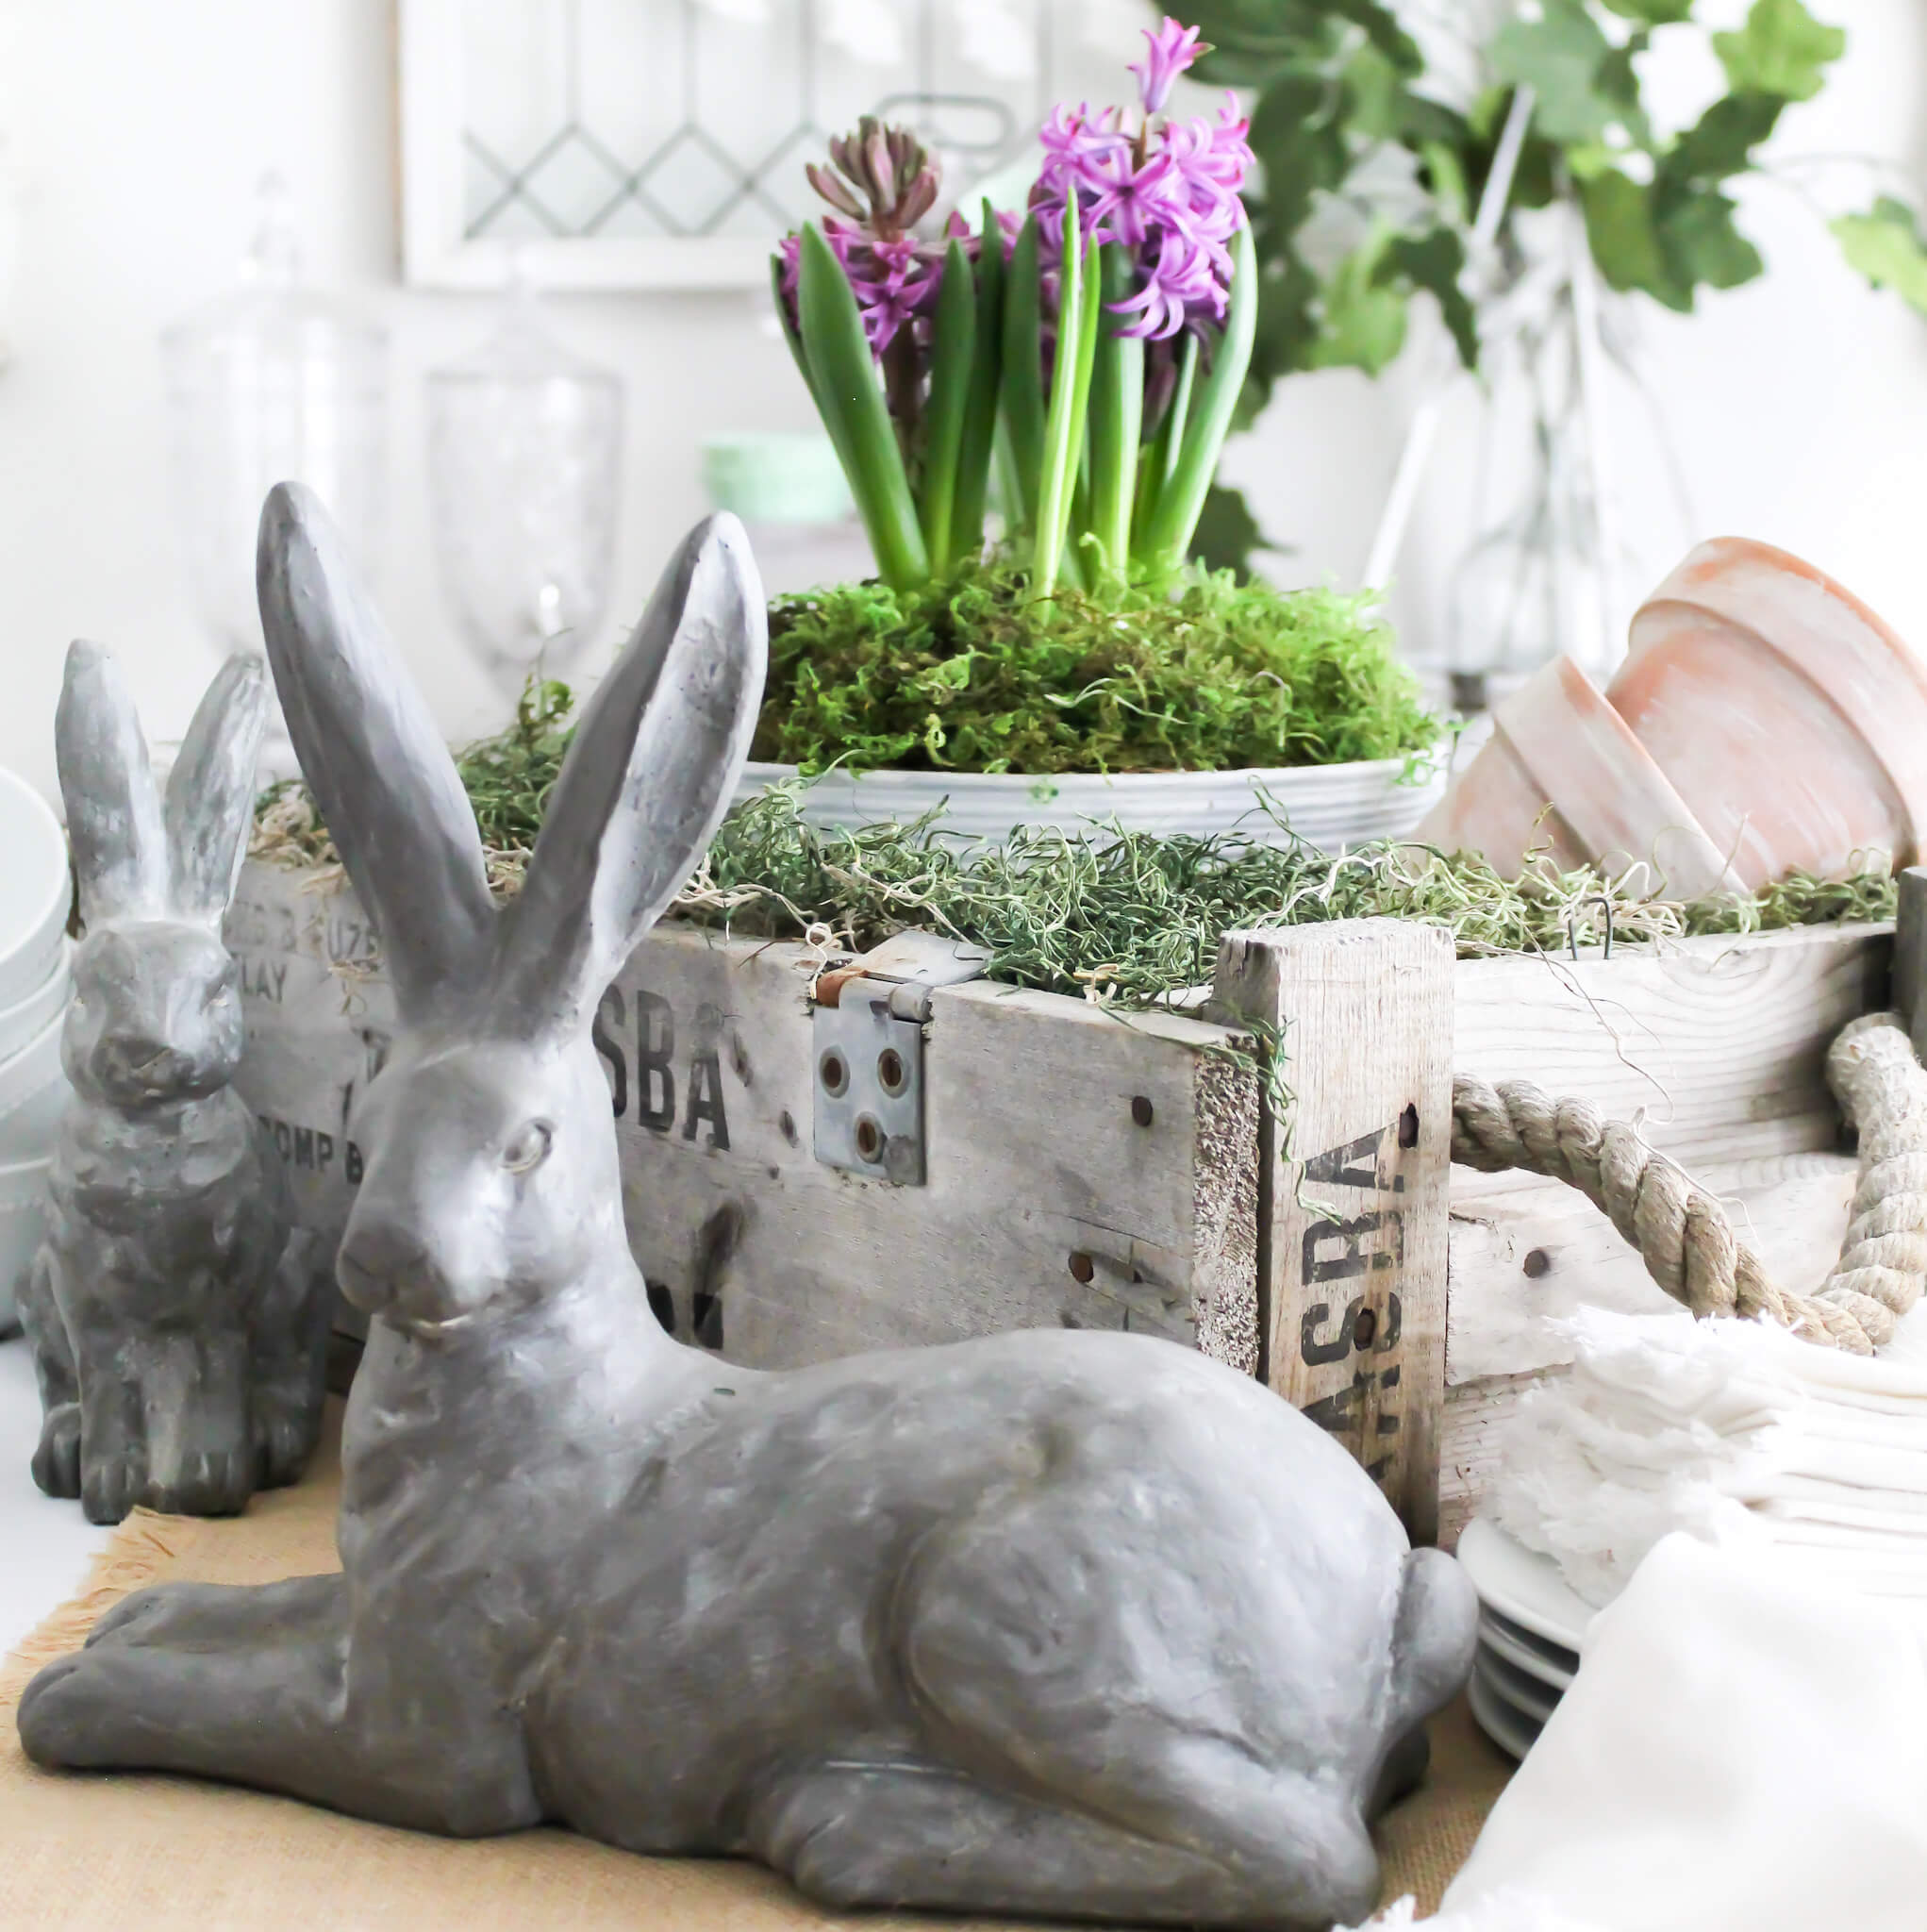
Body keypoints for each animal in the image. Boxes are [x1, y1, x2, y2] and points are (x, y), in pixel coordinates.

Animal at [19, 641, 328, 1514]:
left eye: (220, 987)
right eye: (87, 990)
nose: (147, 1049)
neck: (151, 1139)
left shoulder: (225, 1294)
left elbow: (215, 1380)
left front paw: (206, 1485)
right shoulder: (83, 1295)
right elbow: (106, 1386)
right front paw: (112, 1490)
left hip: (300, 1274)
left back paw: (273, 1443)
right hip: (33, 1286)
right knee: (56, 1381)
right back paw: (58, 1456)